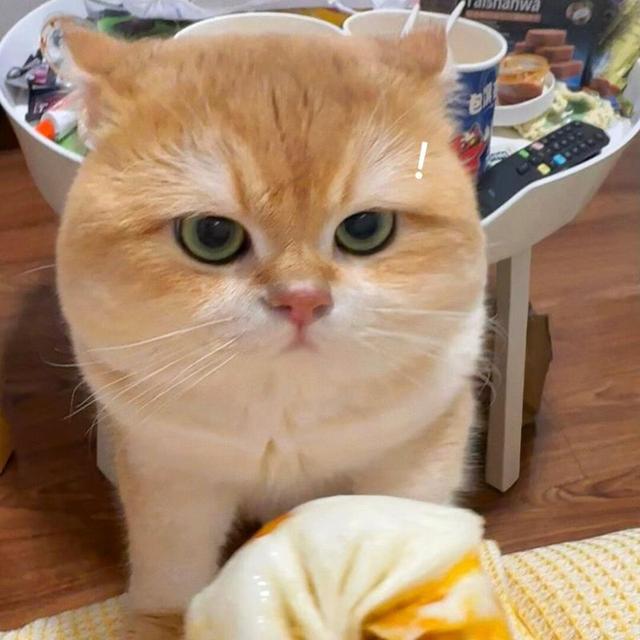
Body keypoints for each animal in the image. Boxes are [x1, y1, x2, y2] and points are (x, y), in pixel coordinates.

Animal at [56, 22, 487, 639]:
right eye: (211, 235)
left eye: (366, 228)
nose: (303, 299)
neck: (283, 406)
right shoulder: (167, 475)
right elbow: (169, 573)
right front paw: (161, 621)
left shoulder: (421, 444)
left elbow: (403, 524)